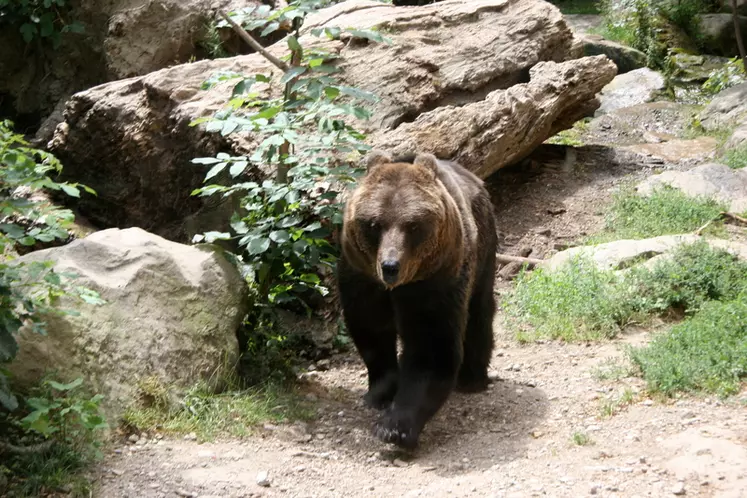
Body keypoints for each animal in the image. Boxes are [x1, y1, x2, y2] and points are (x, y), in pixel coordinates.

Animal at [338, 150, 496, 450]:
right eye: (374, 223)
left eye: (412, 225)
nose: (390, 266)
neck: (397, 287)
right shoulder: (361, 277)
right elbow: (371, 331)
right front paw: (379, 394)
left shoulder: (434, 283)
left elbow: (431, 347)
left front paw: (395, 427)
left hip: (483, 245)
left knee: (479, 312)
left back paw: (472, 377)